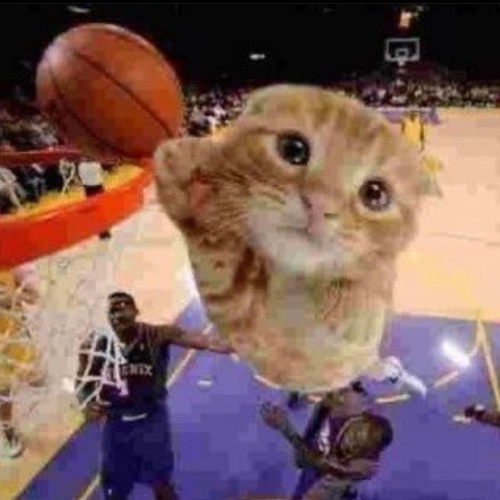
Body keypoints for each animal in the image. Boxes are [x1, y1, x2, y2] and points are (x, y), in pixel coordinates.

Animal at [154, 84, 427, 393]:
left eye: (375, 194)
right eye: (293, 149)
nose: (319, 205)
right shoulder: (234, 306)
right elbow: (219, 261)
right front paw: (189, 175)